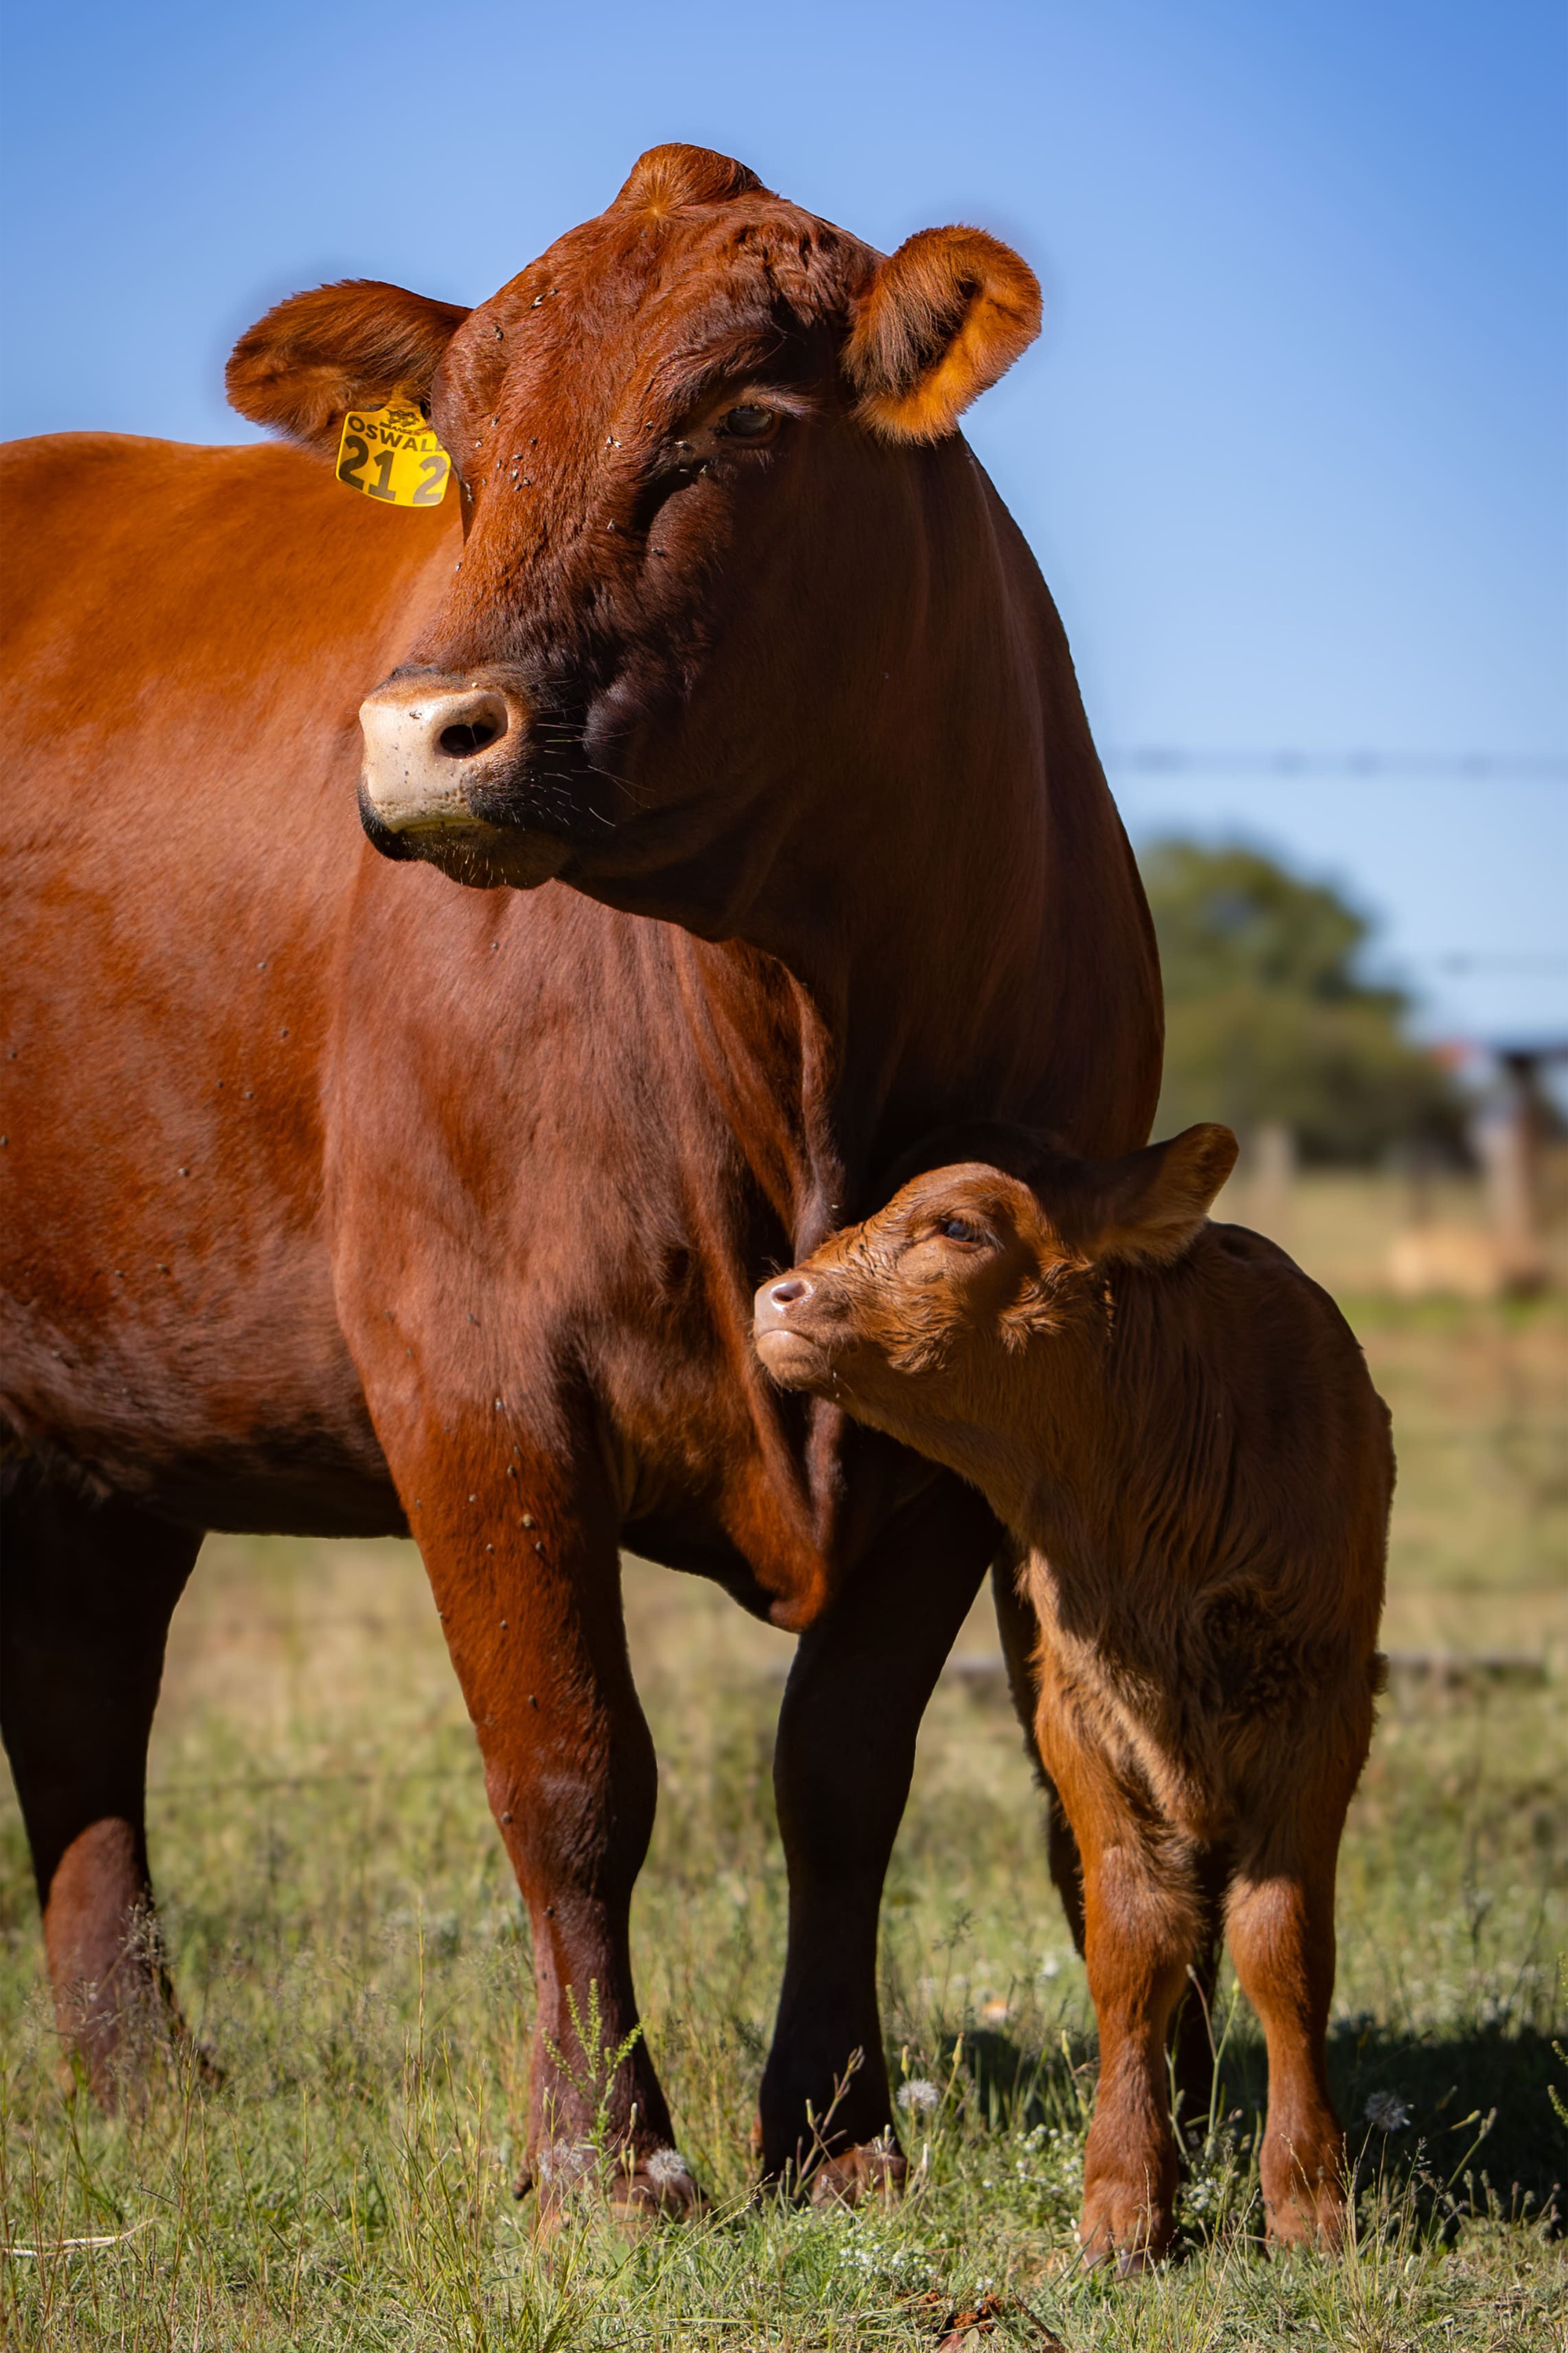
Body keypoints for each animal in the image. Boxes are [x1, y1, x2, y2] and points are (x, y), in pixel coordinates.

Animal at [0, 144, 1162, 2215]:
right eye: (458, 452)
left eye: (737, 427)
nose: (419, 733)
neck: (810, 1026)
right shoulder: (468, 1371)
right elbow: (572, 1773)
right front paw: (599, 2159)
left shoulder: (974, 1420)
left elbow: (838, 1774)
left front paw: (833, 2132)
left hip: (100, 1396)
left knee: (77, 1689)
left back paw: (140, 2081)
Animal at [754, 1123, 1391, 2259]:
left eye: (959, 1226)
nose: (776, 1296)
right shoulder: (1078, 1719)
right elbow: (1131, 1938)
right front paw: (1126, 2199)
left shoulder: (1322, 1714)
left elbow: (1282, 1943)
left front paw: (1309, 2196)